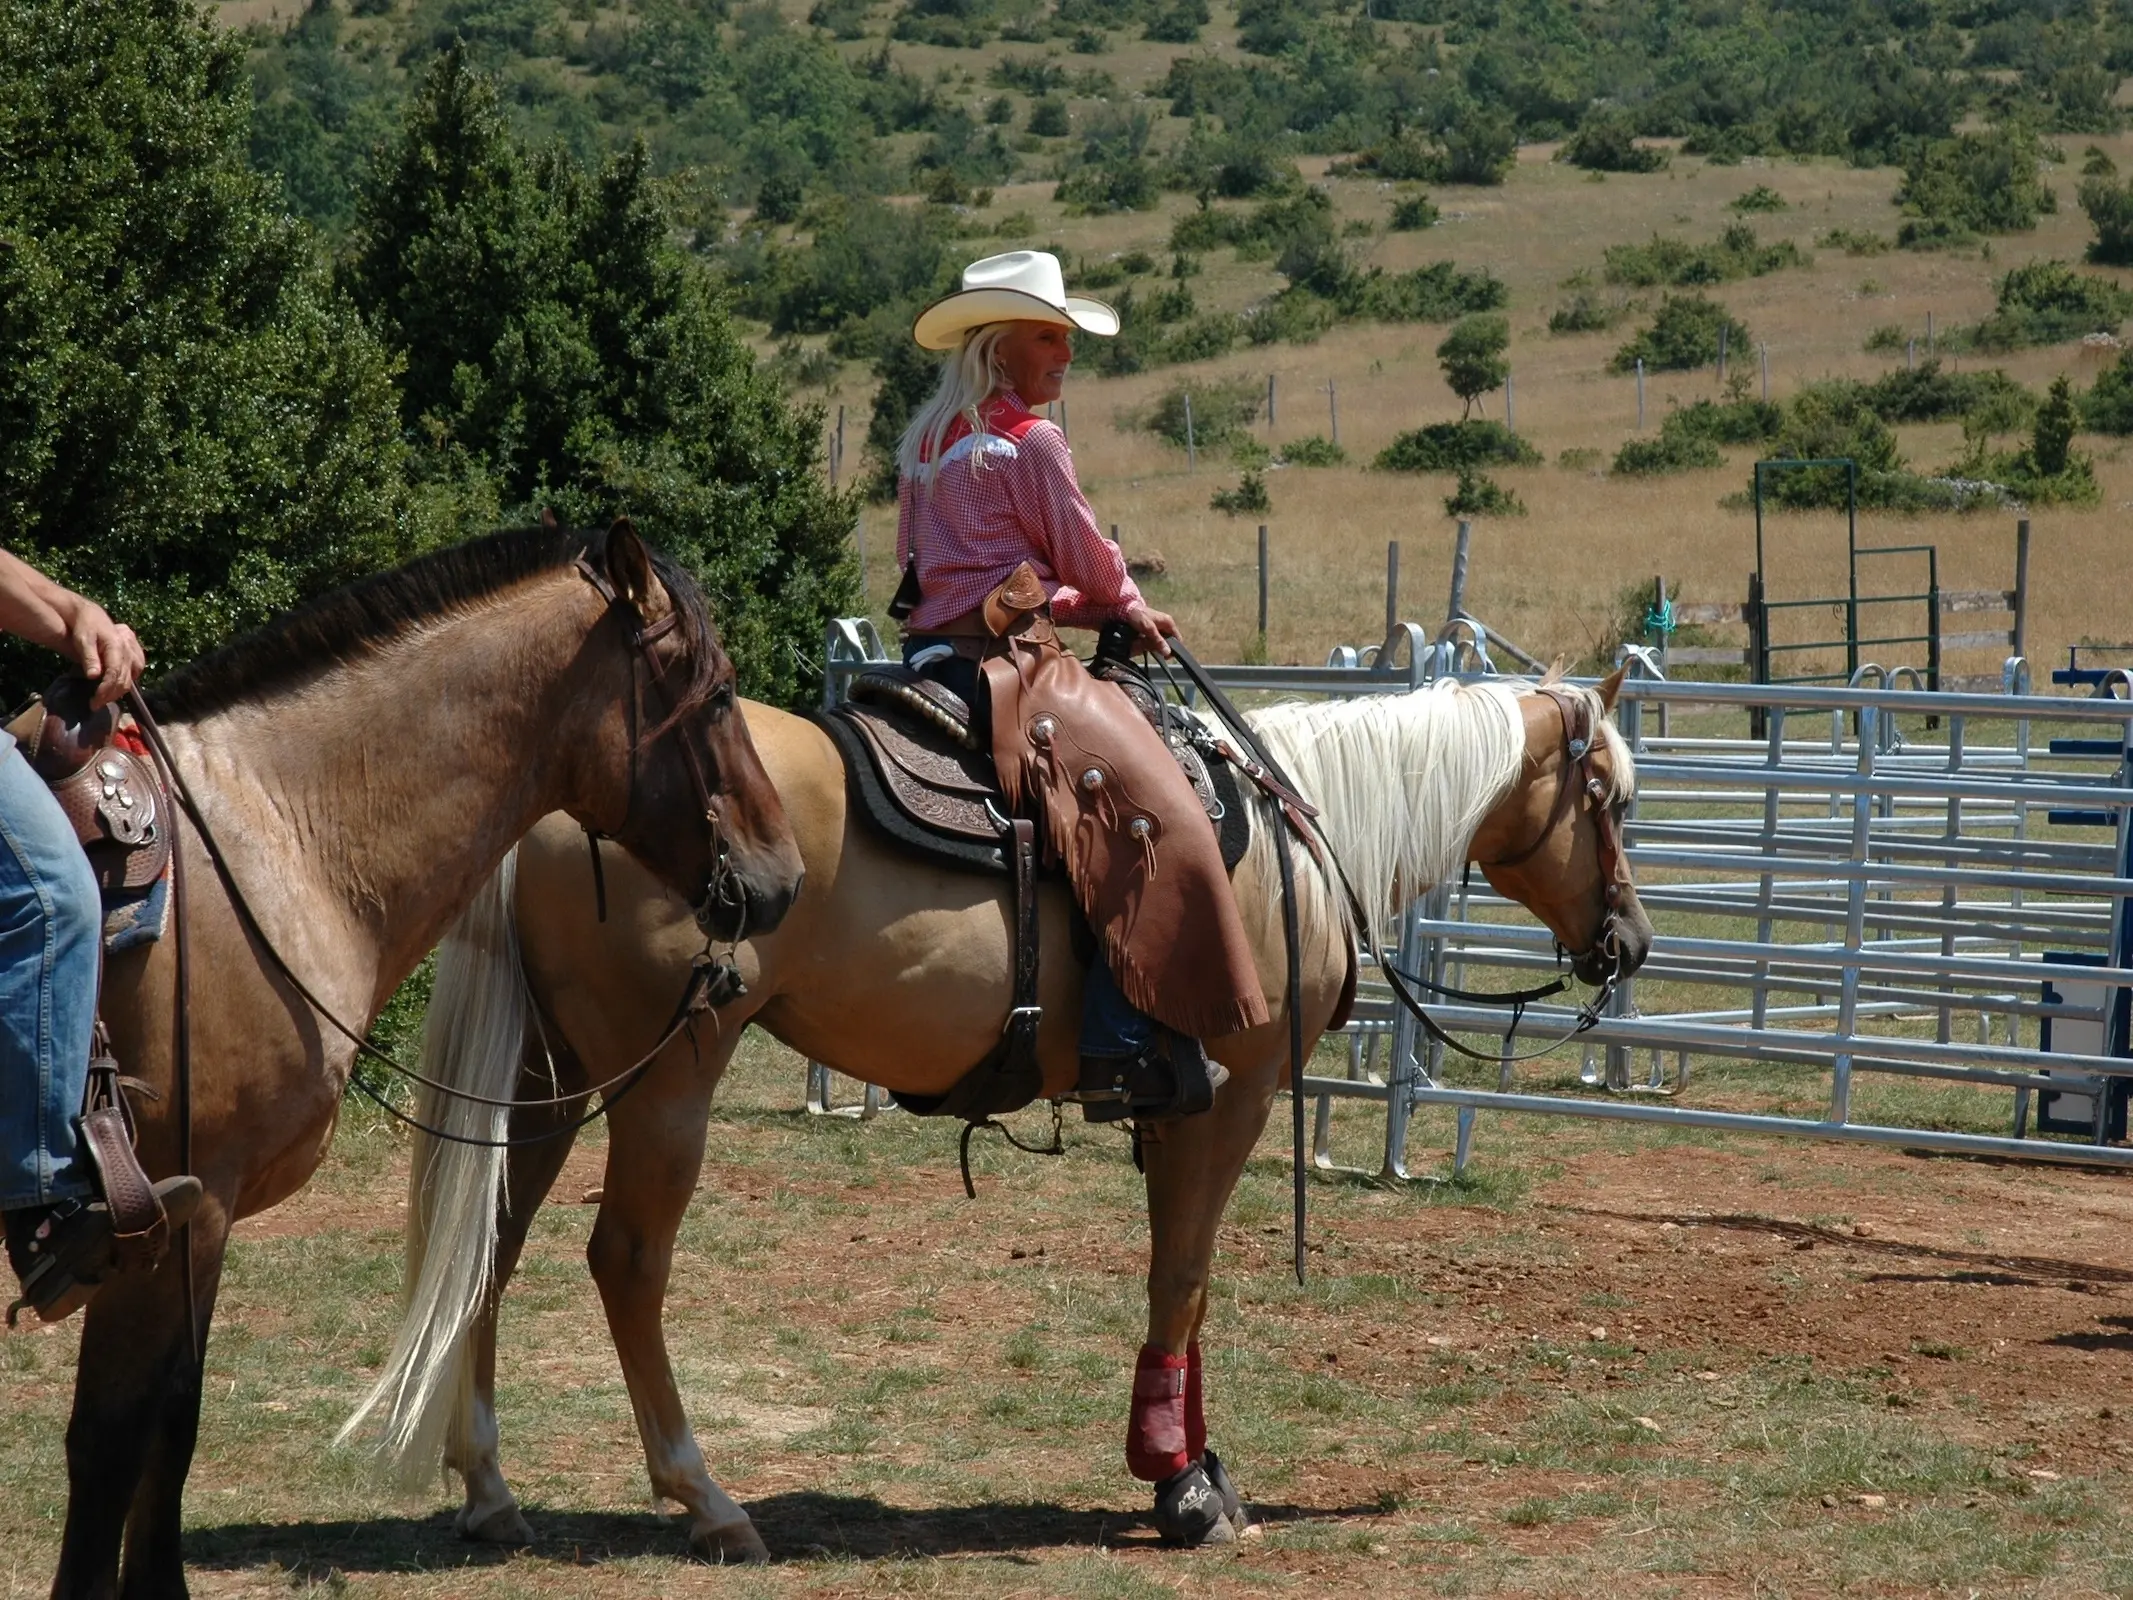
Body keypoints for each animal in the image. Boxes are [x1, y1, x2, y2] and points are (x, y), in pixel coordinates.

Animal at [33, 520, 802, 1595]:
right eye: (720, 692)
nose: (783, 880)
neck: (270, 847)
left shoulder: (187, 1224)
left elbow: (166, 1426)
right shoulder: (175, 1213)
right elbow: (115, 1440)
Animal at [349, 669, 1655, 1561]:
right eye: (1608, 796)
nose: (1629, 943)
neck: (1295, 837)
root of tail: (566, 802)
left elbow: (1177, 1279)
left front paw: (1188, 1462)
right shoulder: (1227, 1097)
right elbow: (1184, 1274)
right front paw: (1180, 1479)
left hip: (555, 1076)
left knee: (491, 1241)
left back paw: (488, 1486)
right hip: (668, 1079)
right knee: (623, 1260)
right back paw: (706, 1498)